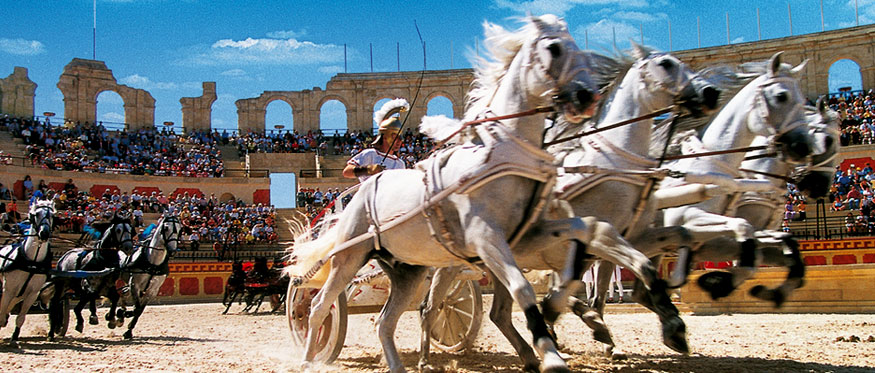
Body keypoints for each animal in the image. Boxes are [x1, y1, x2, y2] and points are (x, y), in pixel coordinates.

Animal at [0, 201, 54, 346]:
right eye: (36, 214)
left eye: (52, 215)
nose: (44, 233)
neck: (32, 262)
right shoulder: (8, 290)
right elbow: (1, 312)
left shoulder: (32, 294)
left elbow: (21, 318)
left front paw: (14, 338)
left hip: (19, 295)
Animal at [288, 13, 604, 370]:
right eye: (554, 47)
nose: (587, 96)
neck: (502, 157)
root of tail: (360, 193)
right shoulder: (486, 239)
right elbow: (522, 289)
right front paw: (549, 353)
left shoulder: (524, 236)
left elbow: (580, 232)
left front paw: (563, 305)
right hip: (349, 256)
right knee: (319, 306)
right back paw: (309, 358)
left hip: (408, 270)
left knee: (386, 321)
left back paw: (398, 364)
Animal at [420, 43, 724, 366]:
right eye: (666, 64)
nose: (710, 93)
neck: (616, 166)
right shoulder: (599, 240)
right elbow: (613, 274)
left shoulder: (629, 237)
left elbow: (671, 241)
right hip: (455, 261)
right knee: (432, 306)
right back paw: (426, 356)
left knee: (498, 313)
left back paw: (533, 352)